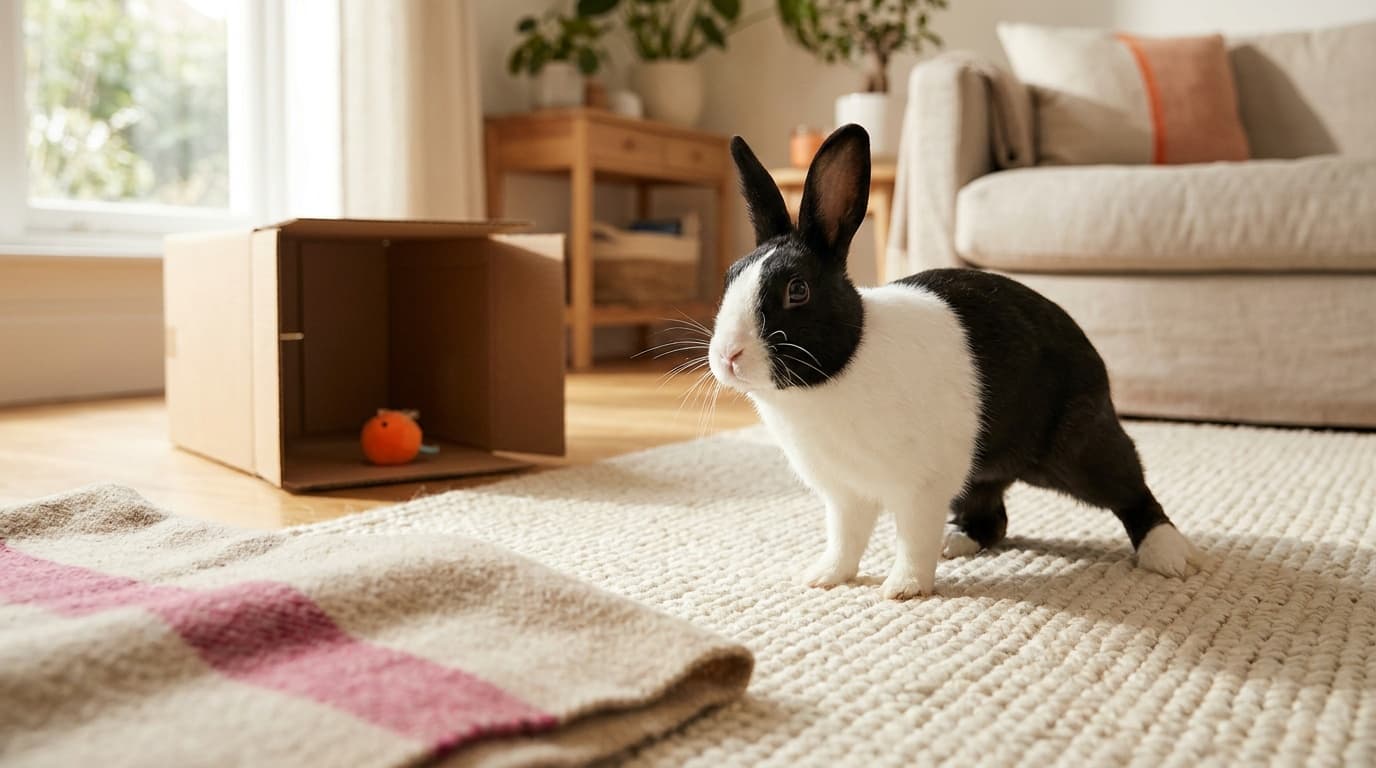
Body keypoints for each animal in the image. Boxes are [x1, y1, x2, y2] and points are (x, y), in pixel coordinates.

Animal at [708, 124, 1201, 599]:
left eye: (797, 291)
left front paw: (904, 589)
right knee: (992, 513)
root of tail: (1086, 345)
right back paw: (958, 541)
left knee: (1131, 488)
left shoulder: (920, 489)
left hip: (1077, 448)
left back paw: (1170, 556)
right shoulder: (846, 494)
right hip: (981, 464)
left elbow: (912, 538)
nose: (728, 355)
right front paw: (825, 577)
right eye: (731, 277)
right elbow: (846, 539)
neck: (837, 373)